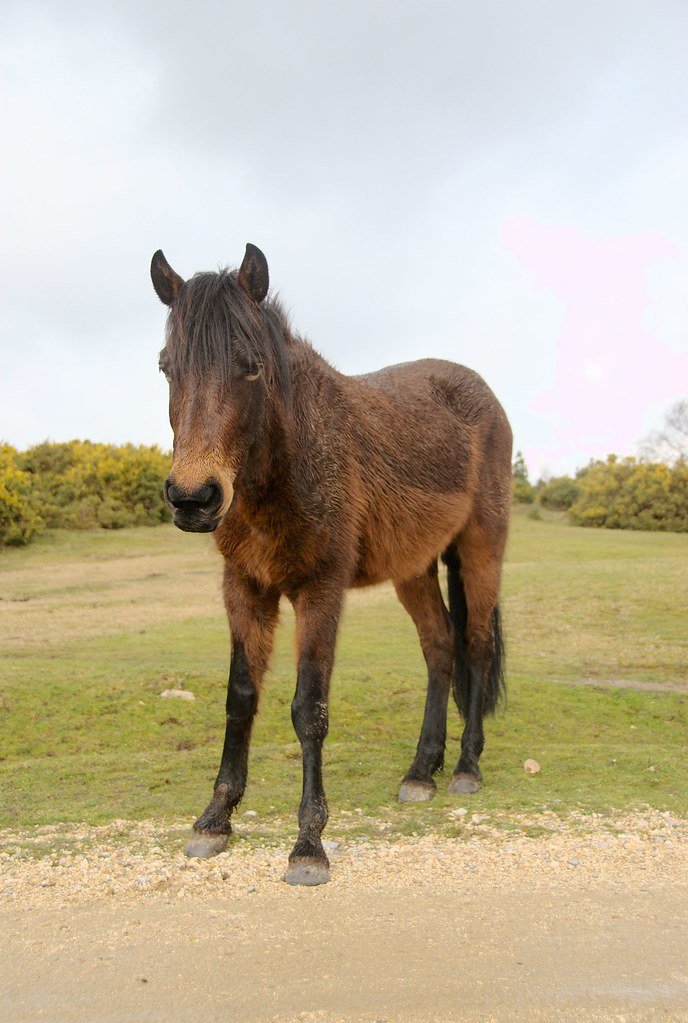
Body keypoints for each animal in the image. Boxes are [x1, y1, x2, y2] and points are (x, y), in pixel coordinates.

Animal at [150, 243, 512, 885]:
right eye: (168, 367)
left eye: (251, 367)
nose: (194, 499)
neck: (291, 461)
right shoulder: (244, 587)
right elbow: (240, 698)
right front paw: (214, 819)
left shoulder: (320, 590)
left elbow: (308, 709)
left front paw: (308, 844)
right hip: (414, 569)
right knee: (440, 647)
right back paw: (421, 772)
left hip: (480, 551)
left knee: (475, 645)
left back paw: (467, 767)